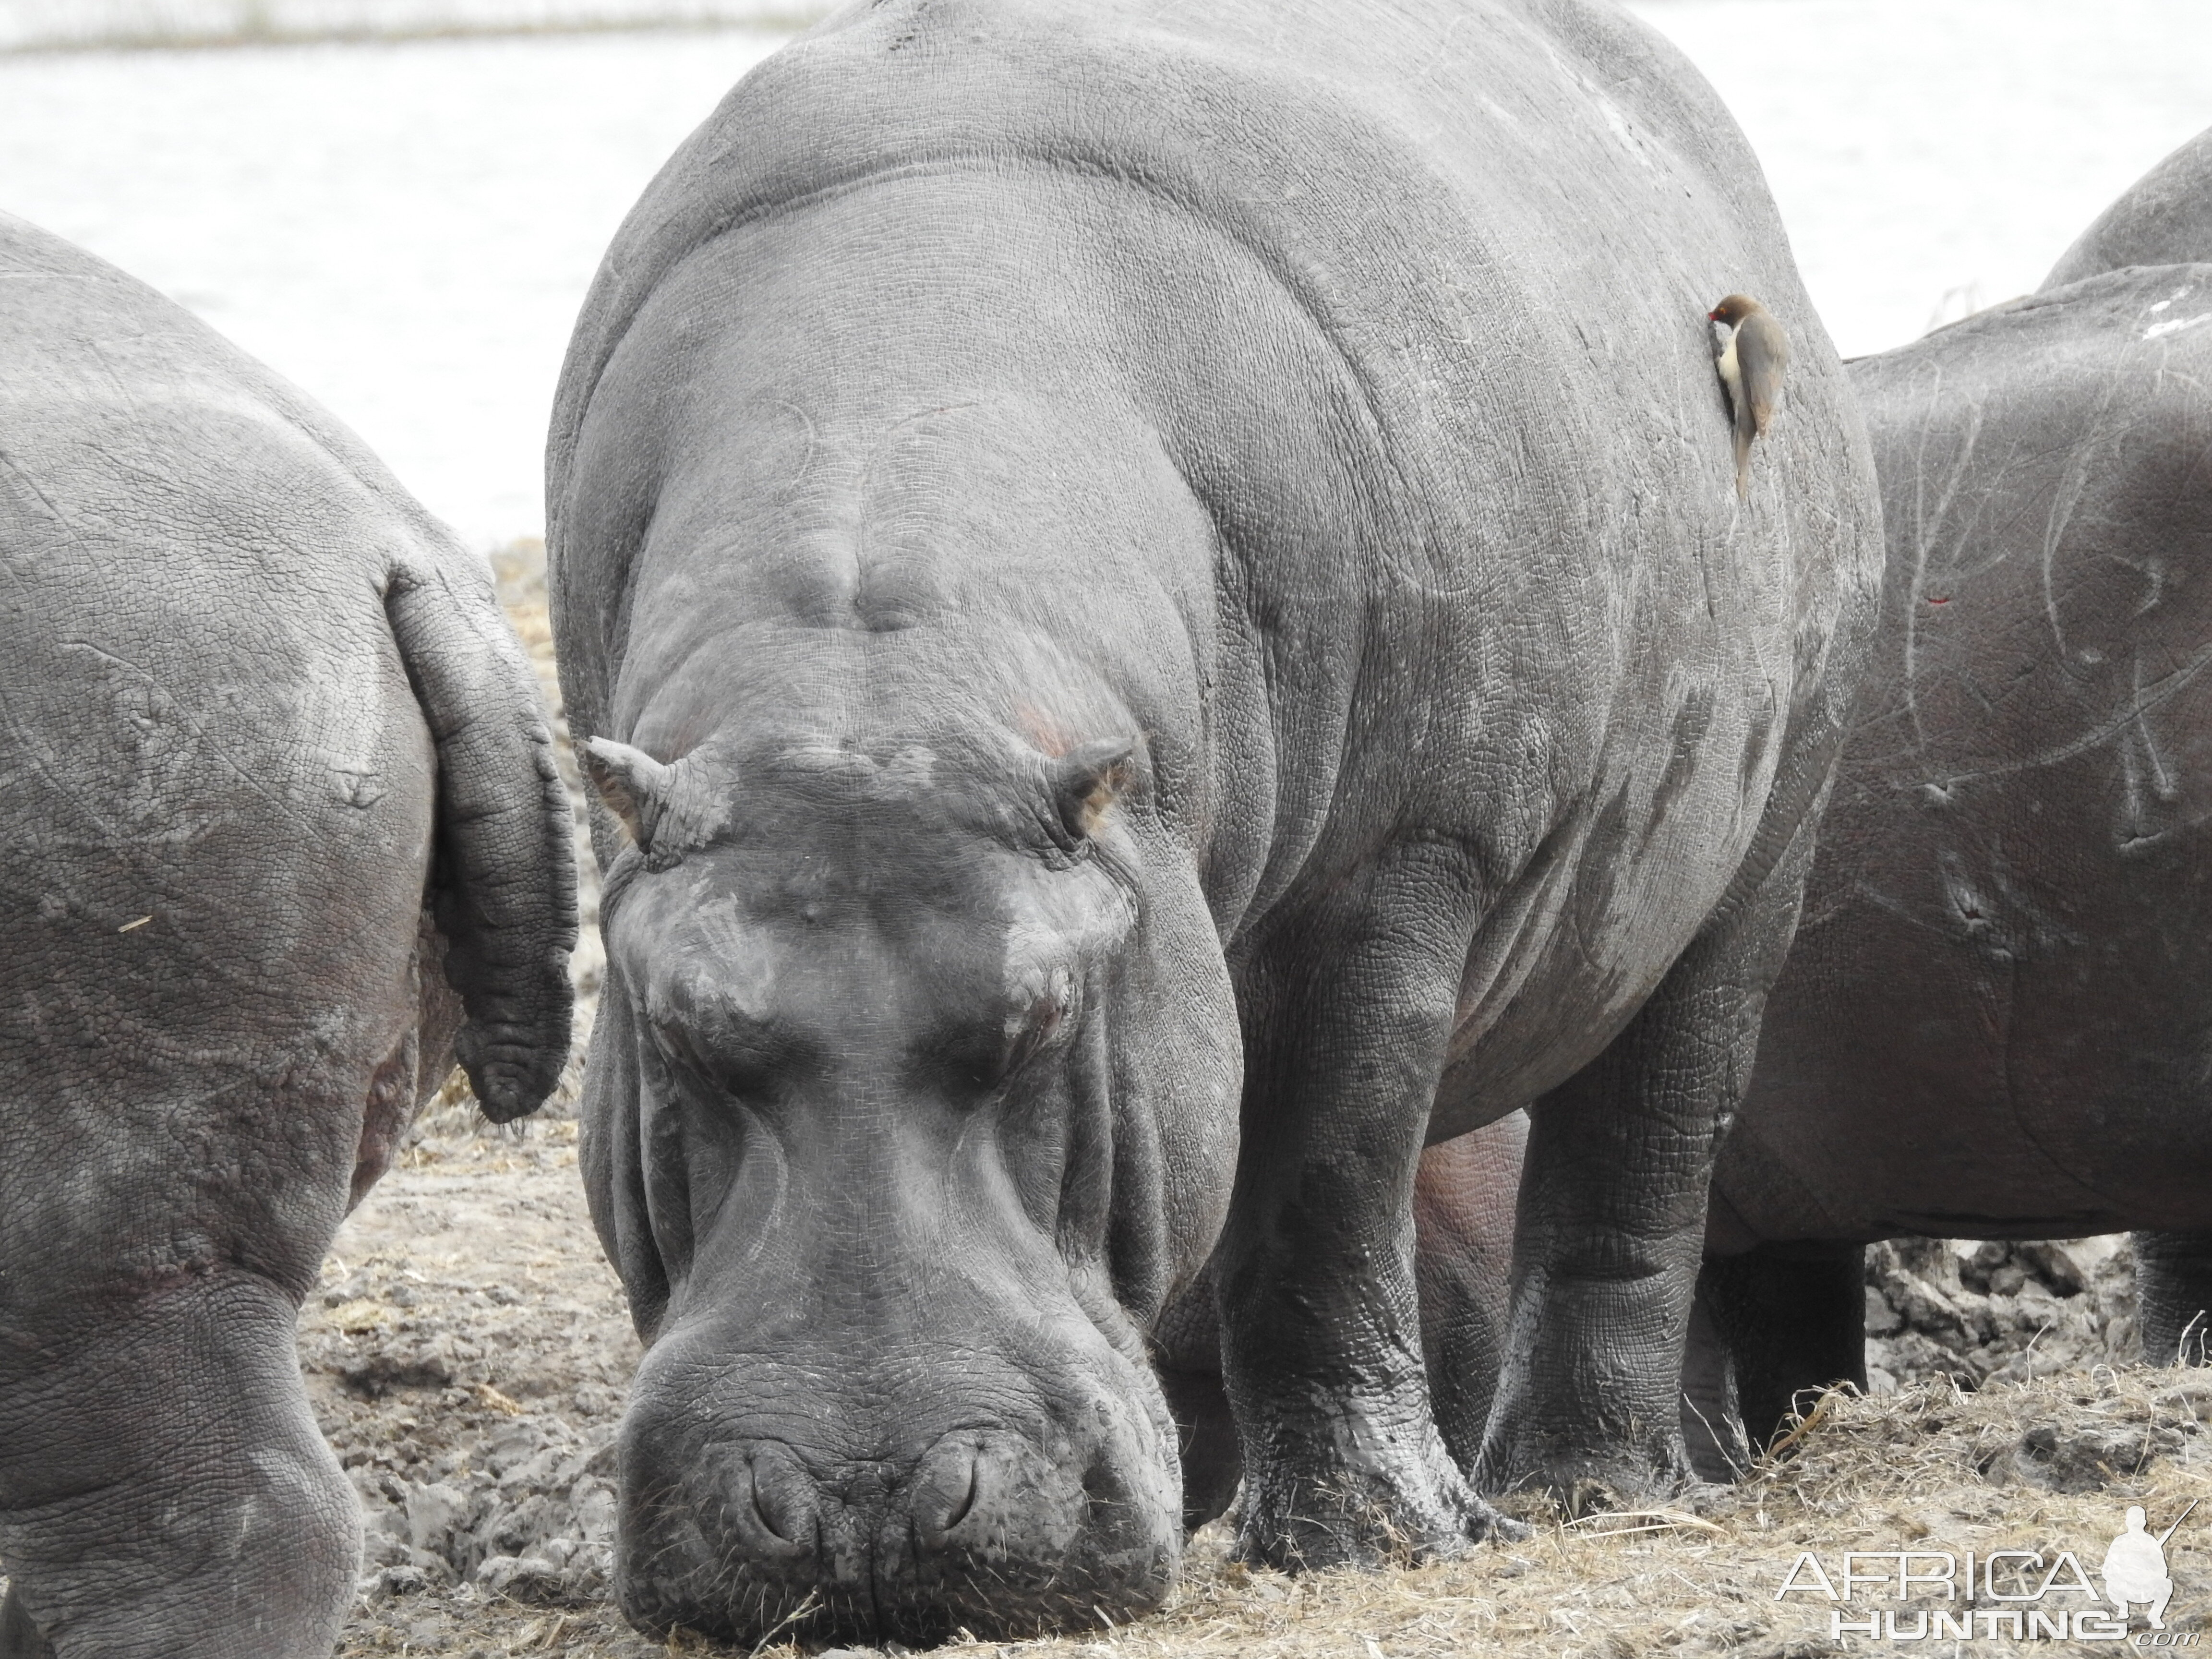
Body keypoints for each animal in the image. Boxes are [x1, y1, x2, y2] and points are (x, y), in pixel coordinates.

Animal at [553, 0, 1885, 1636]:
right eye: (676, 1026)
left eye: (1044, 1019)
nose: (861, 1505)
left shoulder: (1397, 873)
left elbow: (1327, 1195)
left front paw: (1379, 1542)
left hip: (1759, 840)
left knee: (1638, 1155)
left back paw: (1588, 1486)